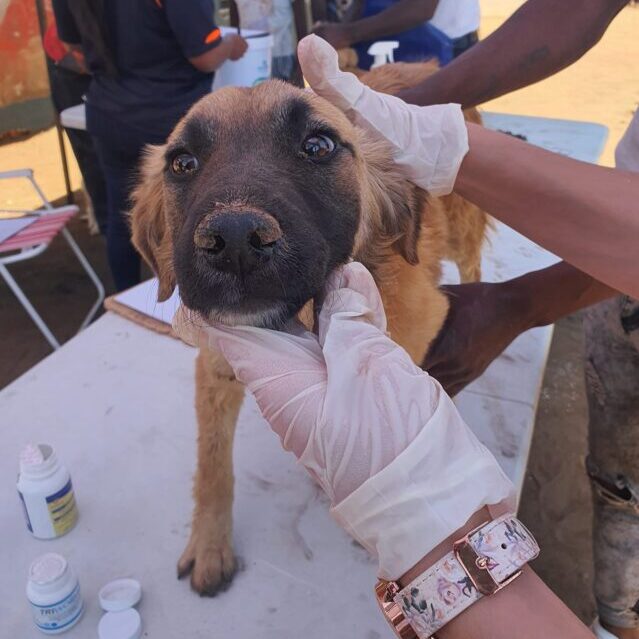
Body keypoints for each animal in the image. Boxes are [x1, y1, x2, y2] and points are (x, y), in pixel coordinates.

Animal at [131, 61, 490, 596]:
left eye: (318, 145)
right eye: (182, 163)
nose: (234, 238)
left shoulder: (418, 323)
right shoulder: (216, 364)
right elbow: (213, 466)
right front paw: (210, 546)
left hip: (465, 231)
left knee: (473, 265)